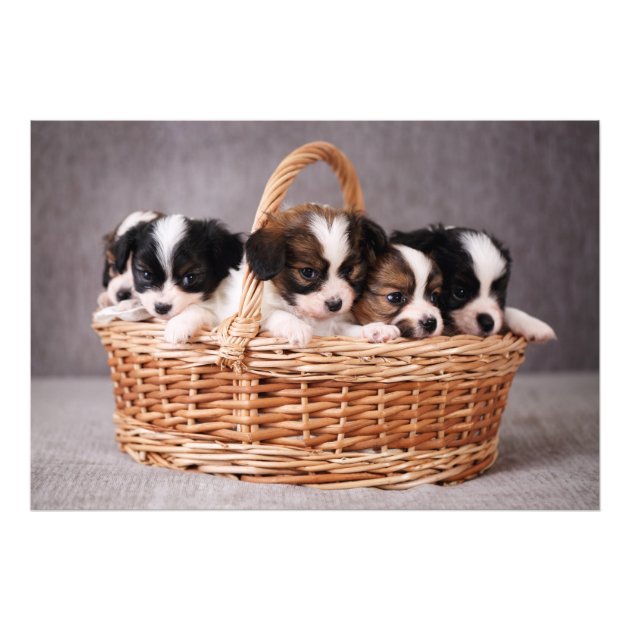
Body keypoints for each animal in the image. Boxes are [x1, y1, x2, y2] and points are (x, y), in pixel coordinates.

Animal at [113, 217, 244, 346]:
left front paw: (178, 325)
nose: (161, 308)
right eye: (146, 275)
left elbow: (197, 308)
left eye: (190, 277)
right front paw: (128, 305)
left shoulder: (218, 315)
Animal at [246, 205, 390, 348]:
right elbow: (276, 313)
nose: (335, 305)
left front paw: (375, 329)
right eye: (308, 272)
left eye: (348, 269)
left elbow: (348, 329)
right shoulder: (262, 315)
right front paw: (297, 327)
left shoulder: (335, 327)